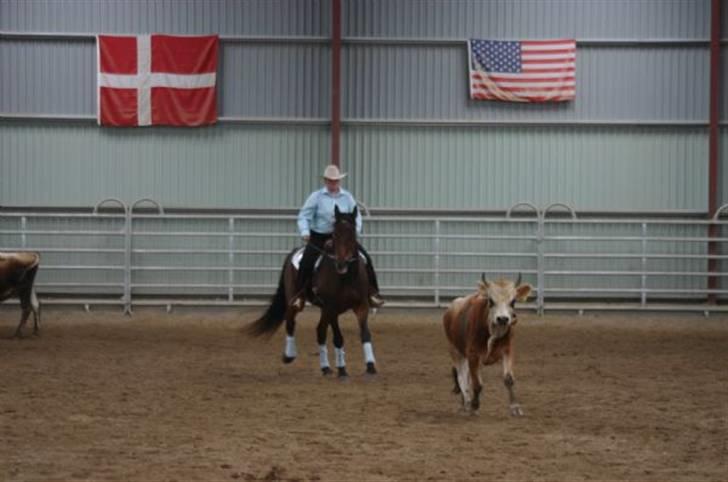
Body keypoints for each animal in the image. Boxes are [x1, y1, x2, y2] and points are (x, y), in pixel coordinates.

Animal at [247, 205, 378, 378]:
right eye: (334, 234)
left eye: (352, 234)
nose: (341, 264)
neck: (346, 278)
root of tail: (295, 251)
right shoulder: (331, 308)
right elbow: (338, 338)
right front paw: (342, 370)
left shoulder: (361, 306)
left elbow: (365, 334)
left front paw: (370, 366)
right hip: (296, 301)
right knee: (291, 322)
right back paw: (289, 356)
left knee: (320, 331)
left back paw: (326, 367)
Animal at [440, 274, 532, 416]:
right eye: (491, 301)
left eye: (513, 302)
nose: (503, 319)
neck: (492, 329)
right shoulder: (473, 355)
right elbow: (477, 384)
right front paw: (474, 405)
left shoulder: (507, 350)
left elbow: (508, 379)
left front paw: (515, 407)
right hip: (455, 350)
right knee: (461, 377)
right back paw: (466, 402)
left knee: (465, 377)